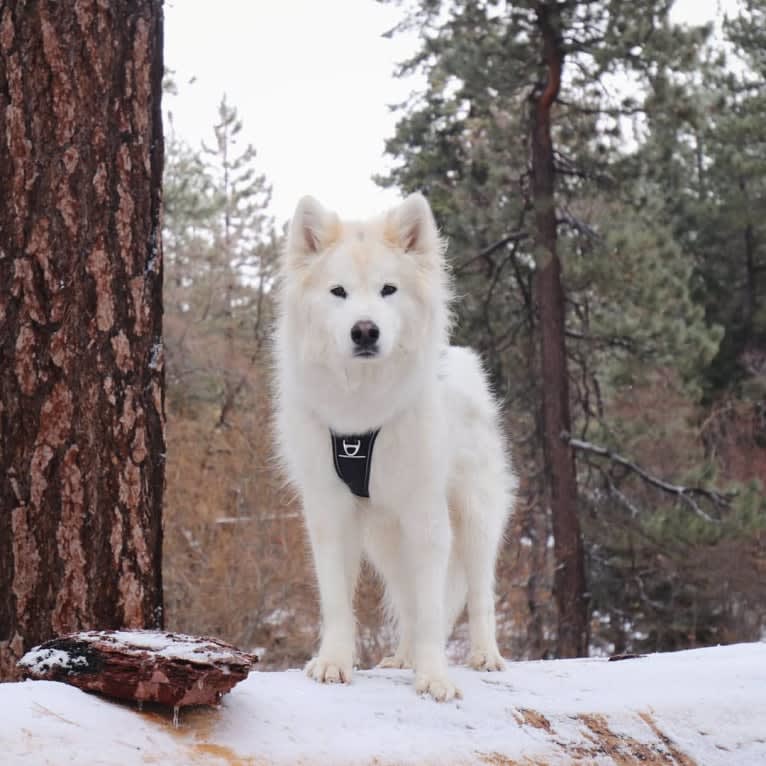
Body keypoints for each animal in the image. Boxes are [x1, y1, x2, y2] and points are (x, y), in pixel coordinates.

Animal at [272, 195, 520, 704]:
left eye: (388, 290)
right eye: (339, 292)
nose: (365, 331)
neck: (362, 417)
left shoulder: (426, 514)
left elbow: (433, 609)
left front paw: (434, 678)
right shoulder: (330, 511)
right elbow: (338, 602)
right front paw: (334, 663)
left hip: (474, 520)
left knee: (479, 595)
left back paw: (484, 656)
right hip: (386, 538)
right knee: (407, 598)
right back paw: (403, 657)